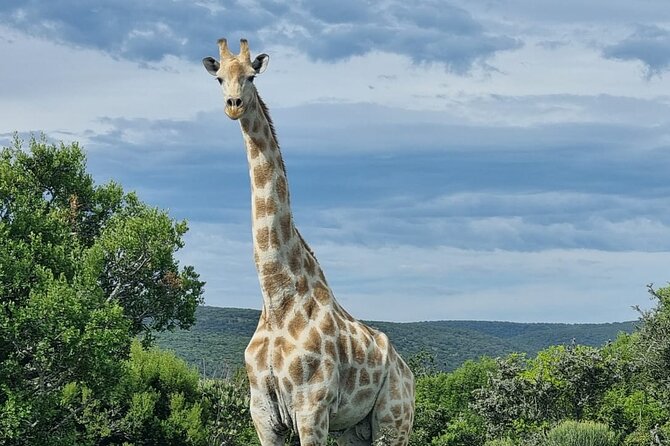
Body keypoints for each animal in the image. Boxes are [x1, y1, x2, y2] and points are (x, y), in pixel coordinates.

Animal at [203, 38, 415, 446]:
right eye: (219, 78)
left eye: (251, 76)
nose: (233, 105)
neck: (276, 297)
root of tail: (408, 372)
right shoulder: (263, 414)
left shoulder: (311, 409)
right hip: (354, 429)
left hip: (394, 422)